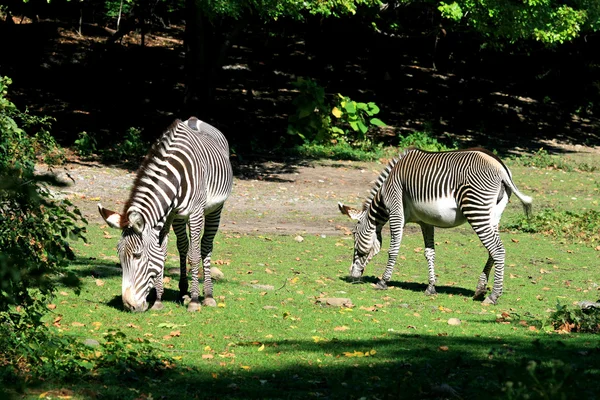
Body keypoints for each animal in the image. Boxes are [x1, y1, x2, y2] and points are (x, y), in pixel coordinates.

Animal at [98, 115, 232, 312]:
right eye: (119, 256)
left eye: (137, 255)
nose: (129, 306)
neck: (175, 177)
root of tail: (195, 120)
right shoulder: (167, 215)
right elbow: (162, 252)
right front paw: (158, 299)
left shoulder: (195, 213)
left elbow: (194, 256)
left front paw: (194, 301)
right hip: (179, 217)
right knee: (183, 246)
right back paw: (183, 291)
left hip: (215, 209)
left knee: (205, 246)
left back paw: (207, 295)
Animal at [340, 148, 532, 304]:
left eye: (354, 234)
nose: (351, 275)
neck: (384, 194)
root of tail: (501, 167)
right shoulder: (426, 222)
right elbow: (429, 253)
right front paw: (431, 287)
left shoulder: (396, 212)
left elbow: (393, 249)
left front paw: (383, 281)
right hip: (494, 215)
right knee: (493, 250)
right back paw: (480, 290)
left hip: (476, 208)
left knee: (497, 250)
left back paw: (493, 296)